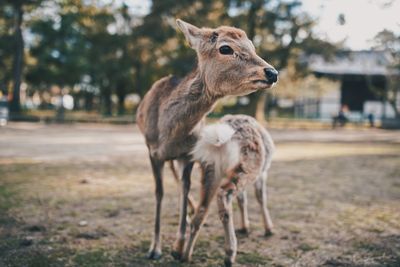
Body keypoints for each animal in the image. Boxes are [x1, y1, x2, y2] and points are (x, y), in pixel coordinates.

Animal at [135, 18, 278, 262]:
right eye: (225, 48)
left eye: (252, 46)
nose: (272, 72)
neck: (168, 134)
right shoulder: (152, 152)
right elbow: (159, 194)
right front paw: (155, 249)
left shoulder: (189, 155)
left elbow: (184, 189)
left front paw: (178, 246)